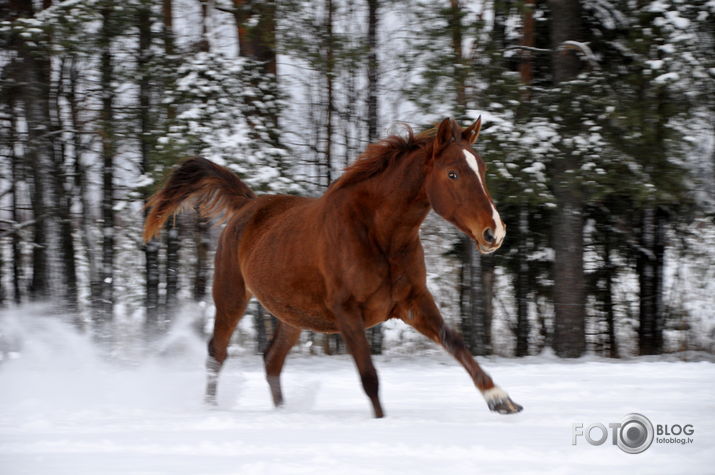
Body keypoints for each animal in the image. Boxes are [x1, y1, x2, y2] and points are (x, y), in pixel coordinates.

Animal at [145, 118, 524, 416]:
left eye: (483, 169)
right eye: (453, 173)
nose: (494, 232)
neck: (378, 234)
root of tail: (247, 206)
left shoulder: (413, 302)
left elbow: (455, 343)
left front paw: (500, 400)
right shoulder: (347, 312)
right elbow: (369, 377)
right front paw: (381, 421)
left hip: (291, 316)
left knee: (271, 360)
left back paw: (283, 413)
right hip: (231, 298)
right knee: (216, 354)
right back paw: (210, 409)